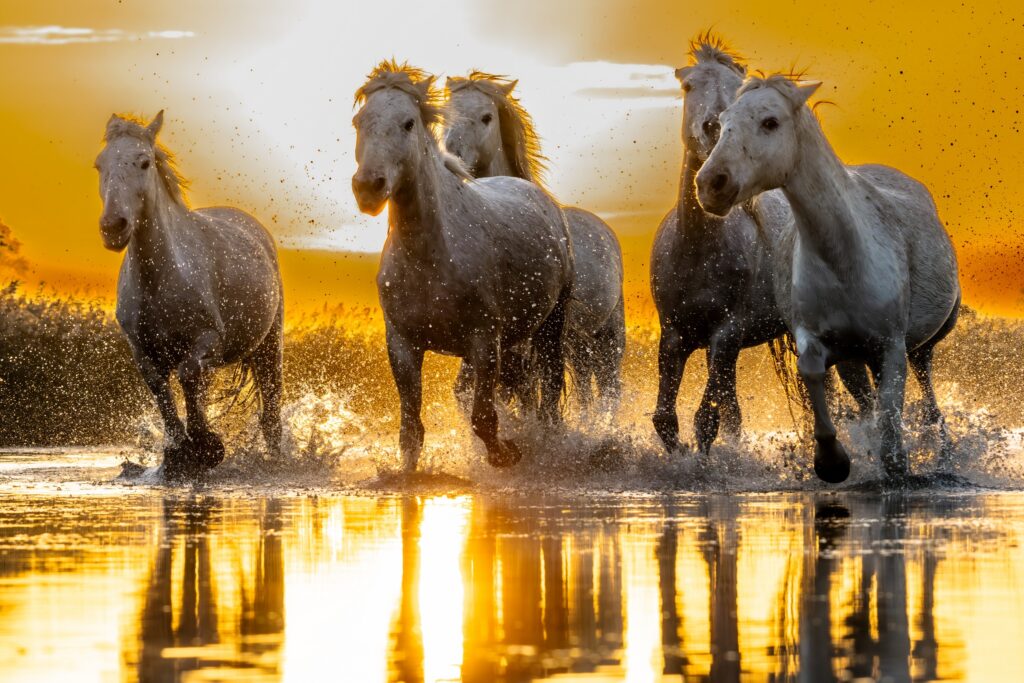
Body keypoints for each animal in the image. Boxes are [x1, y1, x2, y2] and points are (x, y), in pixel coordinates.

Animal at [96, 111, 284, 480]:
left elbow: (188, 375)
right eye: (99, 164)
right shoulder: (143, 352)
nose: (113, 227)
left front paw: (206, 447)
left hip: (269, 345)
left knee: (271, 412)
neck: (160, 281)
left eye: (144, 162)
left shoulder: (207, 340)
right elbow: (163, 390)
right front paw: (180, 453)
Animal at [350, 61, 573, 471]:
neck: (431, 256)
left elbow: (483, 417)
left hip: (550, 324)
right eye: (359, 121)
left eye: (408, 123)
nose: (368, 188)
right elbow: (411, 430)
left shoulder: (484, 342)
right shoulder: (402, 345)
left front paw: (506, 454)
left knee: (548, 391)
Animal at [442, 72, 625, 417]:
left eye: (486, 117)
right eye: (443, 113)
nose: (451, 159)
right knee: (585, 389)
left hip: (608, 338)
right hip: (579, 346)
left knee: (610, 390)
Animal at [697, 74, 960, 482]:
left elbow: (891, 426)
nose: (711, 183)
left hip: (921, 350)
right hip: (856, 360)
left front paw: (896, 468)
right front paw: (832, 461)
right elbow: (813, 373)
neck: (844, 260)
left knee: (929, 401)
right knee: (869, 403)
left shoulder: (892, 347)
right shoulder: (818, 340)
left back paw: (944, 456)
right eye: (722, 122)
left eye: (770, 122)